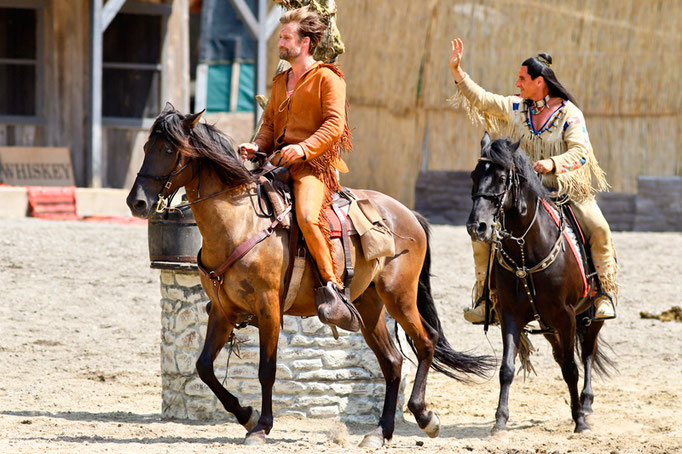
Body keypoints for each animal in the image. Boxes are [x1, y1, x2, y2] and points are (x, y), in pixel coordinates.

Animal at [125, 105, 492, 446]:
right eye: (145, 146)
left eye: (169, 149)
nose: (136, 202)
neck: (240, 223)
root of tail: (409, 214)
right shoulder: (222, 309)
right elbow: (204, 367)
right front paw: (246, 414)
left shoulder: (269, 308)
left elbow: (267, 370)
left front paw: (262, 426)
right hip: (370, 306)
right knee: (393, 362)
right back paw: (379, 432)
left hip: (399, 296)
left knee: (426, 342)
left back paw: (424, 416)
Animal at [464, 133, 612, 434]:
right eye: (474, 175)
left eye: (501, 177)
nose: (477, 227)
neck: (526, 248)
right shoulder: (511, 314)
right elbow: (506, 369)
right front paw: (500, 421)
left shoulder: (566, 315)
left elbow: (571, 368)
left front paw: (580, 421)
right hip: (548, 325)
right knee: (563, 354)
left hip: (590, 317)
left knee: (587, 354)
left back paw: (586, 404)